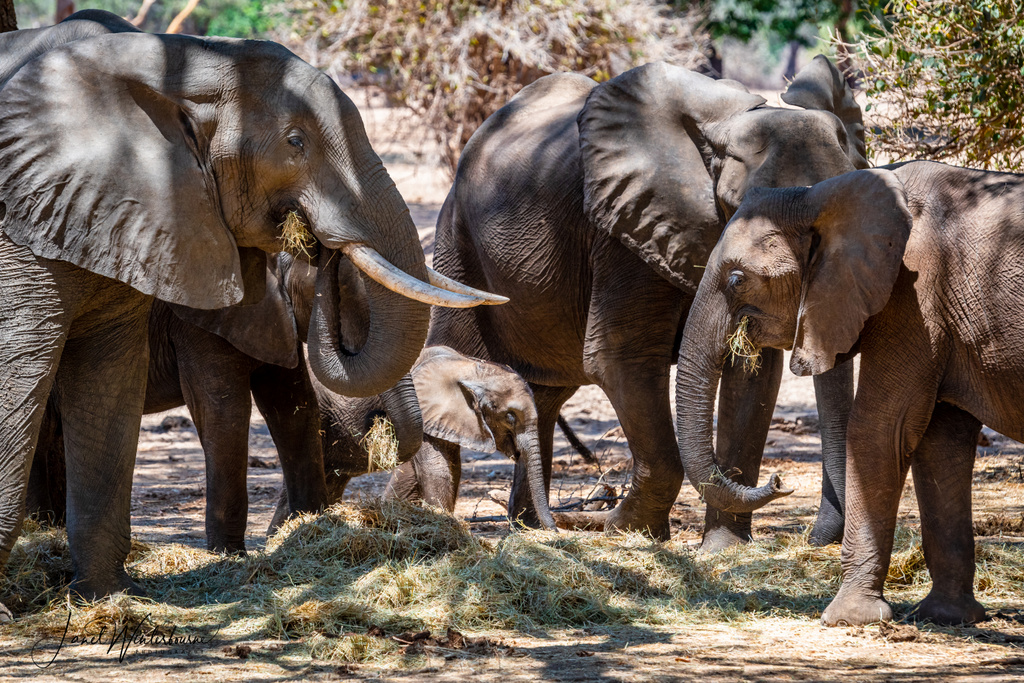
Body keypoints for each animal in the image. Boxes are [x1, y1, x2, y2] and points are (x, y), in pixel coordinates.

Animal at [0, 10, 503, 618]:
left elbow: (283, 399)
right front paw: (229, 558)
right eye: (295, 142)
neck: (173, 61)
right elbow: (220, 404)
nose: (324, 246)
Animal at [415, 54, 864, 544]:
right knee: (456, 356)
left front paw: (721, 549)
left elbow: (753, 372)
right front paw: (635, 532)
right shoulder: (623, 232)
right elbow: (622, 357)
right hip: (457, 245)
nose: (780, 483)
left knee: (545, 395)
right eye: (738, 206)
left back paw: (533, 526)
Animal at [679, 162, 1024, 626]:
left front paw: (847, 619)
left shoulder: (914, 295)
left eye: (737, 280)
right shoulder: (940, 314)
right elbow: (941, 442)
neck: (818, 196)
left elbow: (880, 429)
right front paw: (945, 617)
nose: (779, 480)